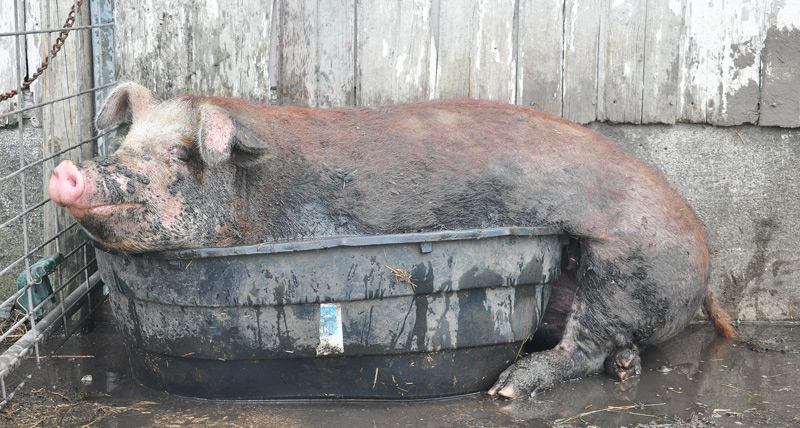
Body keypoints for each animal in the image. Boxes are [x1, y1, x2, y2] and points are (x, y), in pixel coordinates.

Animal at [48, 82, 735, 398]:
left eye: (178, 155)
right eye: (124, 144)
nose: (68, 170)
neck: (256, 200)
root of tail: (704, 254)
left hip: (628, 267)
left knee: (585, 345)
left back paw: (508, 388)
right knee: (616, 348)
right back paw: (623, 368)